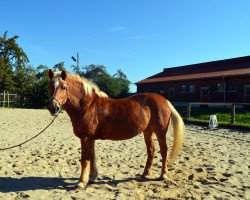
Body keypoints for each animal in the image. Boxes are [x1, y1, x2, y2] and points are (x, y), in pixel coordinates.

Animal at [47, 69, 184, 189]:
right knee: (151, 151)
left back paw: (163, 175)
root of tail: (164, 100)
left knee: (164, 150)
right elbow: (92, 157)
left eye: (63, 87)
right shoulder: (90, 138)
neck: (87, 106)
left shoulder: (85, 138)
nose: (53, 108)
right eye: (49, 87)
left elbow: (85, 160)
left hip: (160, 132)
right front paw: (91, 178)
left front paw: (81, 183)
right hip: (148, 131)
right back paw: (145, 174)